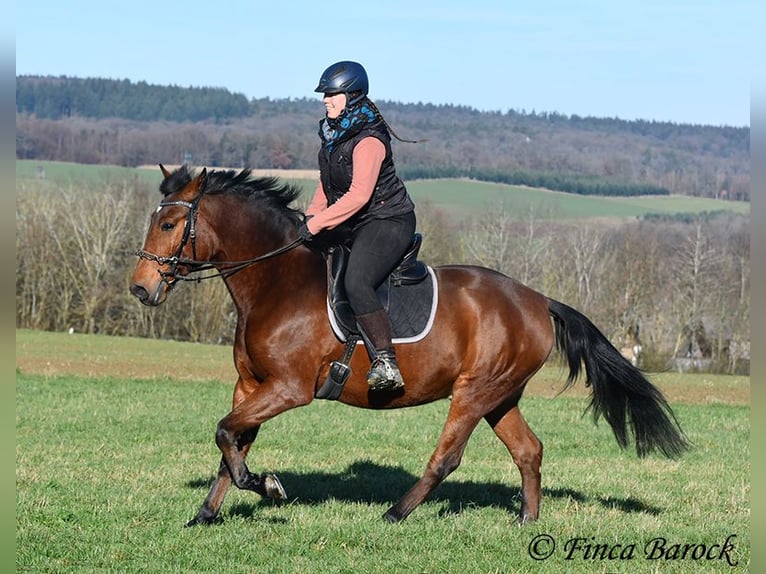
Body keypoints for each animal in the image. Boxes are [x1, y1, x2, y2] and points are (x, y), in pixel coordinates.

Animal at [129, 165, 688, 528]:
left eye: (170, 224)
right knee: (529, 450)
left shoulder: (288, 389)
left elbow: (226, 433)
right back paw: (526, 522)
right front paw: (205, 514)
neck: (275, 282)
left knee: (448, 456)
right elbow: (231, 444)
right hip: (500, 395)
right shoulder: (250, 385)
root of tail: (537, 300)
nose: (140, 289)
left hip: (474, 392)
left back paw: (396, 512)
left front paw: (268, 487)